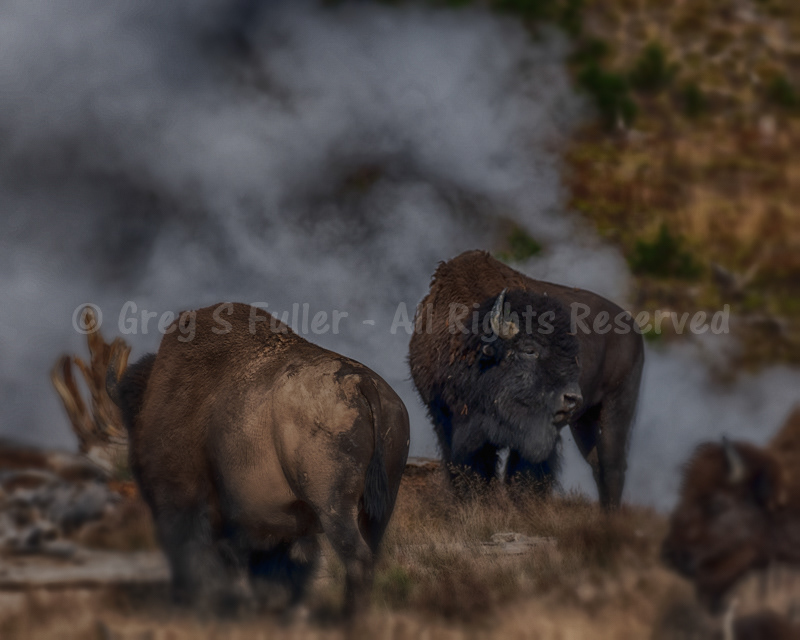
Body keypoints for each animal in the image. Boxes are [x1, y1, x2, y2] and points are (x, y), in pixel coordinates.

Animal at [107, 302, 410, 615]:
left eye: (132, 419)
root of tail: (364, 383)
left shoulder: (186, 500)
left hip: (334, 507)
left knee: (356, 558)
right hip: (378, 509)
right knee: (369, 557)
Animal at [409, 250, 644, 508]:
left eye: (574, 353)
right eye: (529, 350)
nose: (572, 398)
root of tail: (635, 332)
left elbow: (522, 474)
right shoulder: (445, 420)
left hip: (617, 405)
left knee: (613, 465)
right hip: (584, 421)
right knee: (597, 463)